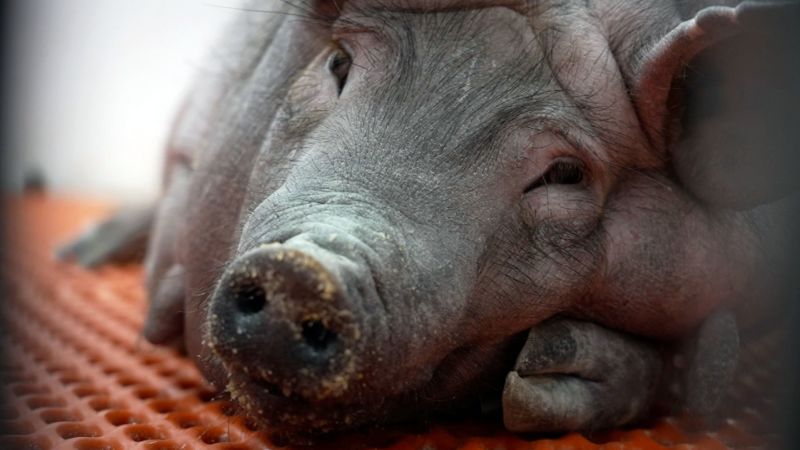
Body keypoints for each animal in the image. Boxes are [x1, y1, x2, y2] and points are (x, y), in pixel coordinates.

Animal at [59, 0, 800, 443]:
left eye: (565, 173)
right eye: (338, 63)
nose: (306, 269)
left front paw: (549, 377)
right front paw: (158, 311)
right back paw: (82, 255)